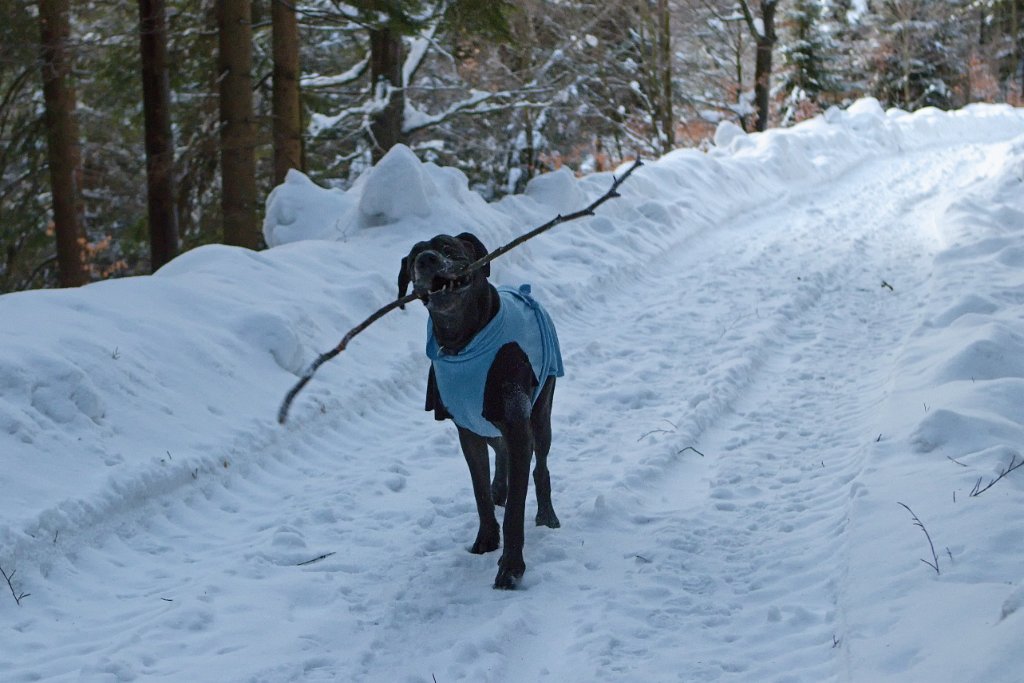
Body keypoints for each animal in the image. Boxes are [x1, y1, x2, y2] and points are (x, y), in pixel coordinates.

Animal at [397, 233, 561, 589]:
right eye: (414, 255)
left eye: (447, 247)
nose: (426, 260)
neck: (463, 342)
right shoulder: (467, 429)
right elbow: (479, 491)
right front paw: (486, 538)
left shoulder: (517, 425)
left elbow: (515, 509)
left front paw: (511, 567)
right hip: (483, 419)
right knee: (499, 450)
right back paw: (500, 487)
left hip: (541, 410)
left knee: (540, 464)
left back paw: (546, 514)